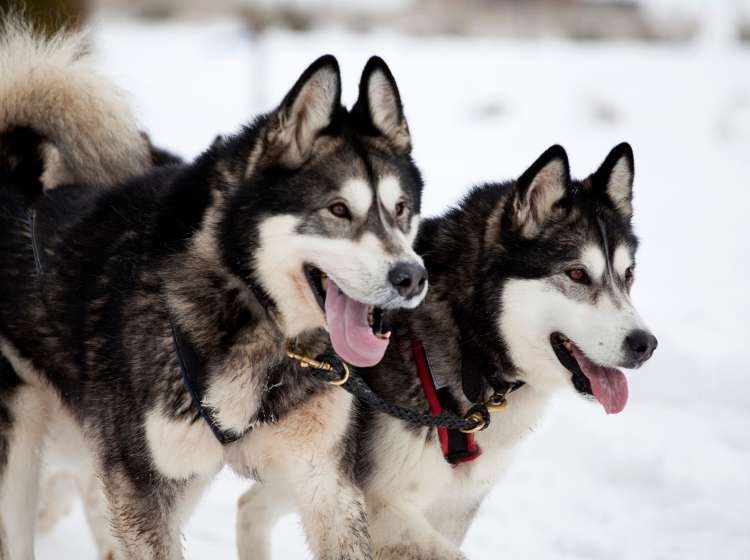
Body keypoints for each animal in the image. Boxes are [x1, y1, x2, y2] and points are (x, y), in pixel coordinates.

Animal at [1, 21, 428, 560]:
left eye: (401, 209)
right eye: (337, 210)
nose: (411, 276)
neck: (250, 311)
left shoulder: (324, 480)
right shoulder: (142, 491)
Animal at [238, 142, 660, 556]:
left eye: (628, 275)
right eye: (576, 273)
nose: (645, 344)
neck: (468, 342)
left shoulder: (454, 504)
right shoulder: (383, 505)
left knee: (250, 505)